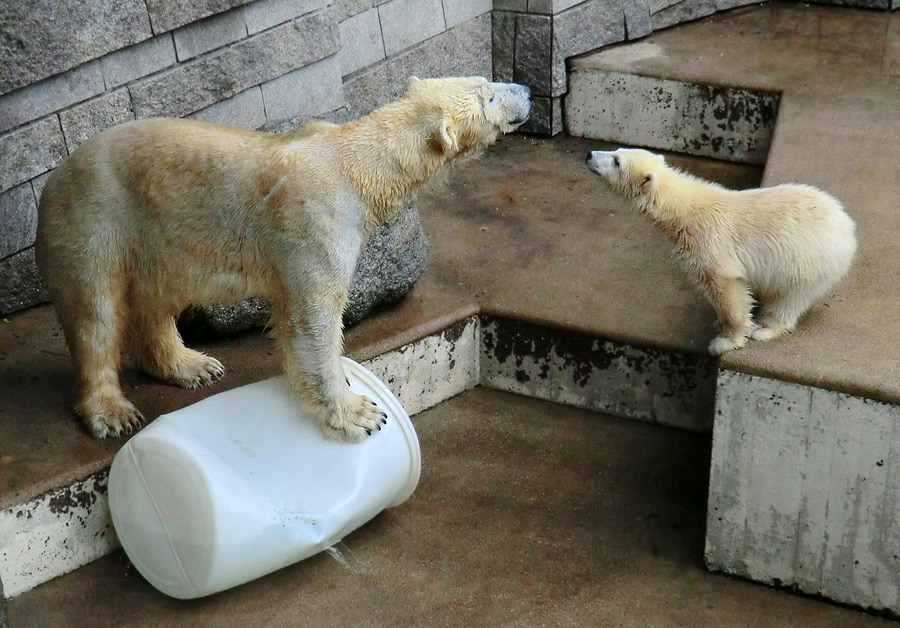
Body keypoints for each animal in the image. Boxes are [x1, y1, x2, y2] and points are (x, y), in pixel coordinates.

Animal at [37, 77, 528, 442]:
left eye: (487, 81)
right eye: (488, 96)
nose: (524, 90)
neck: (357, 165)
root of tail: (53, 180)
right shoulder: (316, 223)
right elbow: (313, 318)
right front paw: (360, 412)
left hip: (157, 234)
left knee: (160, 296)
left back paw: (194, 365)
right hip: (97, 219)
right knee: (96, 314)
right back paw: (113, 412)